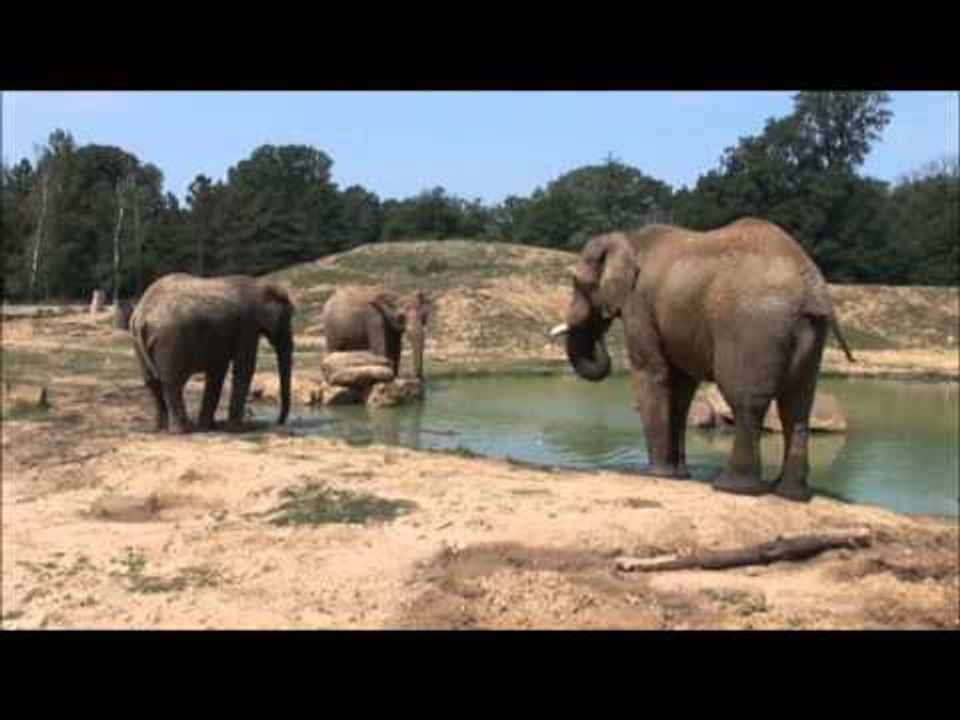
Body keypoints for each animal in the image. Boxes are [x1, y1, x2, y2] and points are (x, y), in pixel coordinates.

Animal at [129, 273, 294, 434]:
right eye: (287, 318)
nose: (278, 422)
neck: (260, 284)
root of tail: (142, 315)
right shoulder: (248, 325)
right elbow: (244, 368)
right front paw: (237, 429)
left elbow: (218, 370)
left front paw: (210, 426)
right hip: (170, 339)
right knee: (172, 382)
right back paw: (182, 430)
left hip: (139, 340)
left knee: (152, 381)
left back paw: (161, 428)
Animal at [550, 218, 855, 502]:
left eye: (578, 283)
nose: (601, 324)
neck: (629, 237)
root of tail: (812, 288)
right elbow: (682, 387)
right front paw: (678, 475)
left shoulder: (639, 303)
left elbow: (652, 372)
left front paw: (658, 474)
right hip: (811, 330)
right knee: (797, 404)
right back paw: (790, 493)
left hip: (751, 326)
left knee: (746, 400)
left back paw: (733, 488)